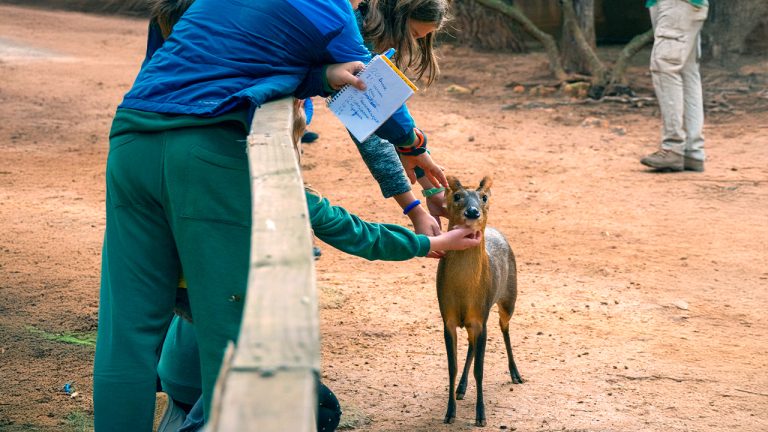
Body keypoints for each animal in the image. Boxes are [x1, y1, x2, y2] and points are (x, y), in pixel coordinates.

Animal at [436, 175, 523, 427]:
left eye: (483, 197)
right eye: (457, 196)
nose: (473, 212)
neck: (464, 291)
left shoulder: (480, 317)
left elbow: (480, 370)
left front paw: (481, 416)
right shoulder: (448, 317)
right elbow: (452, 367)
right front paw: (449, 412)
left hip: (508, 299)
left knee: (504, 329)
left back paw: (515, 374)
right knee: (472, 344)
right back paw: (461, 388)